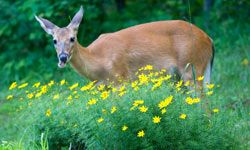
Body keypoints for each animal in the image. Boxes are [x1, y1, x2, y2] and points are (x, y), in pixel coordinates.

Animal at [35, 5, 215, 88]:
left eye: (72, 38)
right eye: (54, 40)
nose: (63, 58)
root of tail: (209, 39)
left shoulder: (120, 79)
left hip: (192, 67)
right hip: (181, 75)